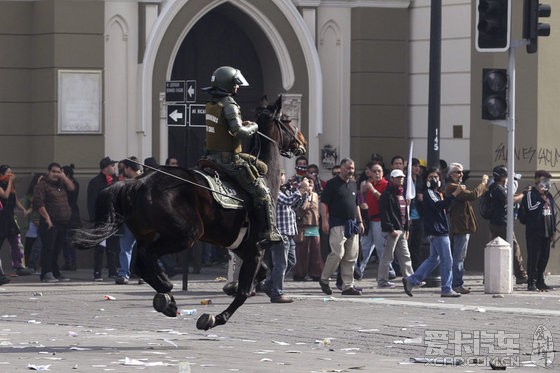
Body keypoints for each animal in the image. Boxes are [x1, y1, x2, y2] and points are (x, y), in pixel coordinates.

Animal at [73, 95, 306, 328]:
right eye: (287, 120)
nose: (302, 143)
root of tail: (139, 183)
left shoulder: (242, 247)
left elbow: (261, 274)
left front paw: (231, 288)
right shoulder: (256, 248)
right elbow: (244, 292)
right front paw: (216, 317)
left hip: (149, 234)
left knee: (140, 263)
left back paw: (166, 295)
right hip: (185, 235)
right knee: (146, 258)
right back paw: (166, 289)